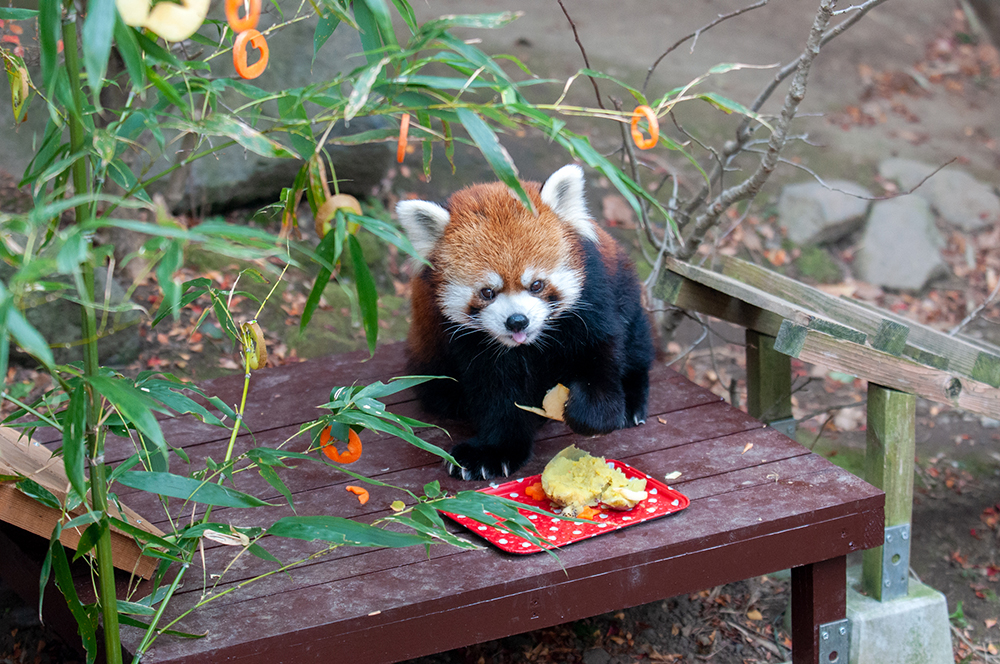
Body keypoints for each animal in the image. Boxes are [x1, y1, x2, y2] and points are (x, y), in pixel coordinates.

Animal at [398, 165, 656, 478]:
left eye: (536, 285)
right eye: (487, 292)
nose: (517, 321)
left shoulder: (592, 297)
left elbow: (599, 353)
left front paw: (594, 414)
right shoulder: (468, 342)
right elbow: (496, 393)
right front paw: (493, 451)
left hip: (628, 295)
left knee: (636, 346)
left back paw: (632, 400)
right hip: (427, 358)